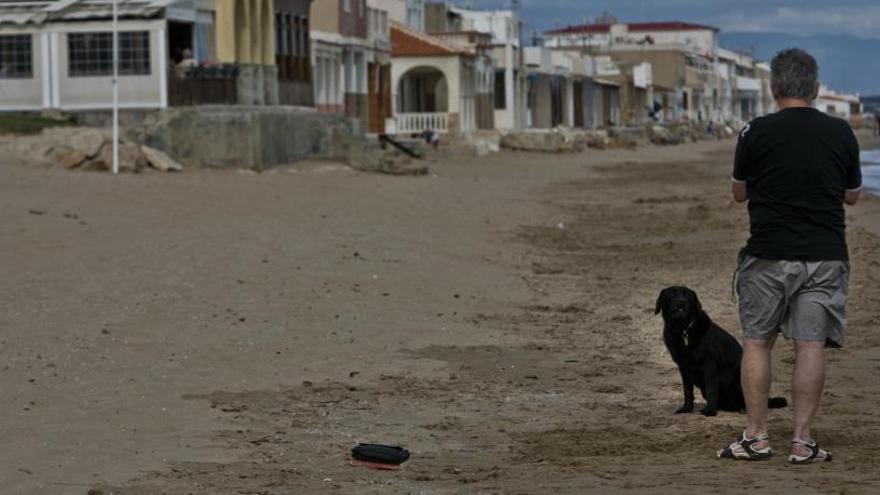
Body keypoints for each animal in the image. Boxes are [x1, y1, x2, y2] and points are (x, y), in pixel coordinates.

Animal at [656, 284, 788, 416]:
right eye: (671, 294)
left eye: (687, 295)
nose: (681, 302)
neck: (683, 330)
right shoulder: (683, 366)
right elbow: (687, 390)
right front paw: (686, 408)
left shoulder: (710, 365)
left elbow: (711, 389)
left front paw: (710, 411)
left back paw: (742, 408)